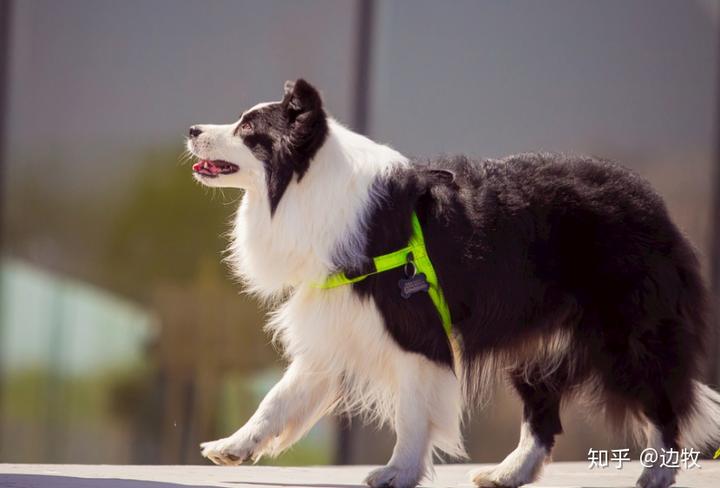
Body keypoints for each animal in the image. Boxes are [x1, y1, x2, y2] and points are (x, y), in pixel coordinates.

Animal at [187, 80, 720, 488]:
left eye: (248, 130)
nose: (192, 129)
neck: (310, 188)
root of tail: (653, 201)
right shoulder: (342, 321)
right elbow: (279, 397)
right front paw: (231, 447)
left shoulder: (413, 326)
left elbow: (410, 410)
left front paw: (398, 473)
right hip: (540, 342)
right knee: (543, 414)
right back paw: (508, 473)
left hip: (626, 330)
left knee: (660, 396)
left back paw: (657, 473)